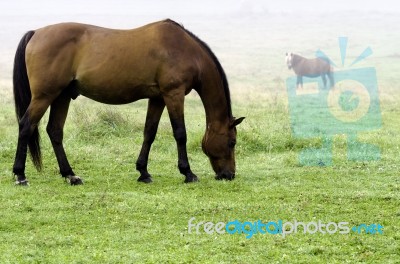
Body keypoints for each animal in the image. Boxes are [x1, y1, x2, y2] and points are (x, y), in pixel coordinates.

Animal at [11, 19, 244, 186]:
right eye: (232, 142)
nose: (229, 175)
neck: (185, 50)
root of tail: (36, 32)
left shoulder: (157, 98)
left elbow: (149, 133)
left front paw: (143, 172)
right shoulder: (173, 94)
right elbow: (180, 133)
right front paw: (188, 173)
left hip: (62, 96)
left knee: (55, 131)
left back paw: (70, 175)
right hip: (44, 96)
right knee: (26, 126)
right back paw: (20, 175)